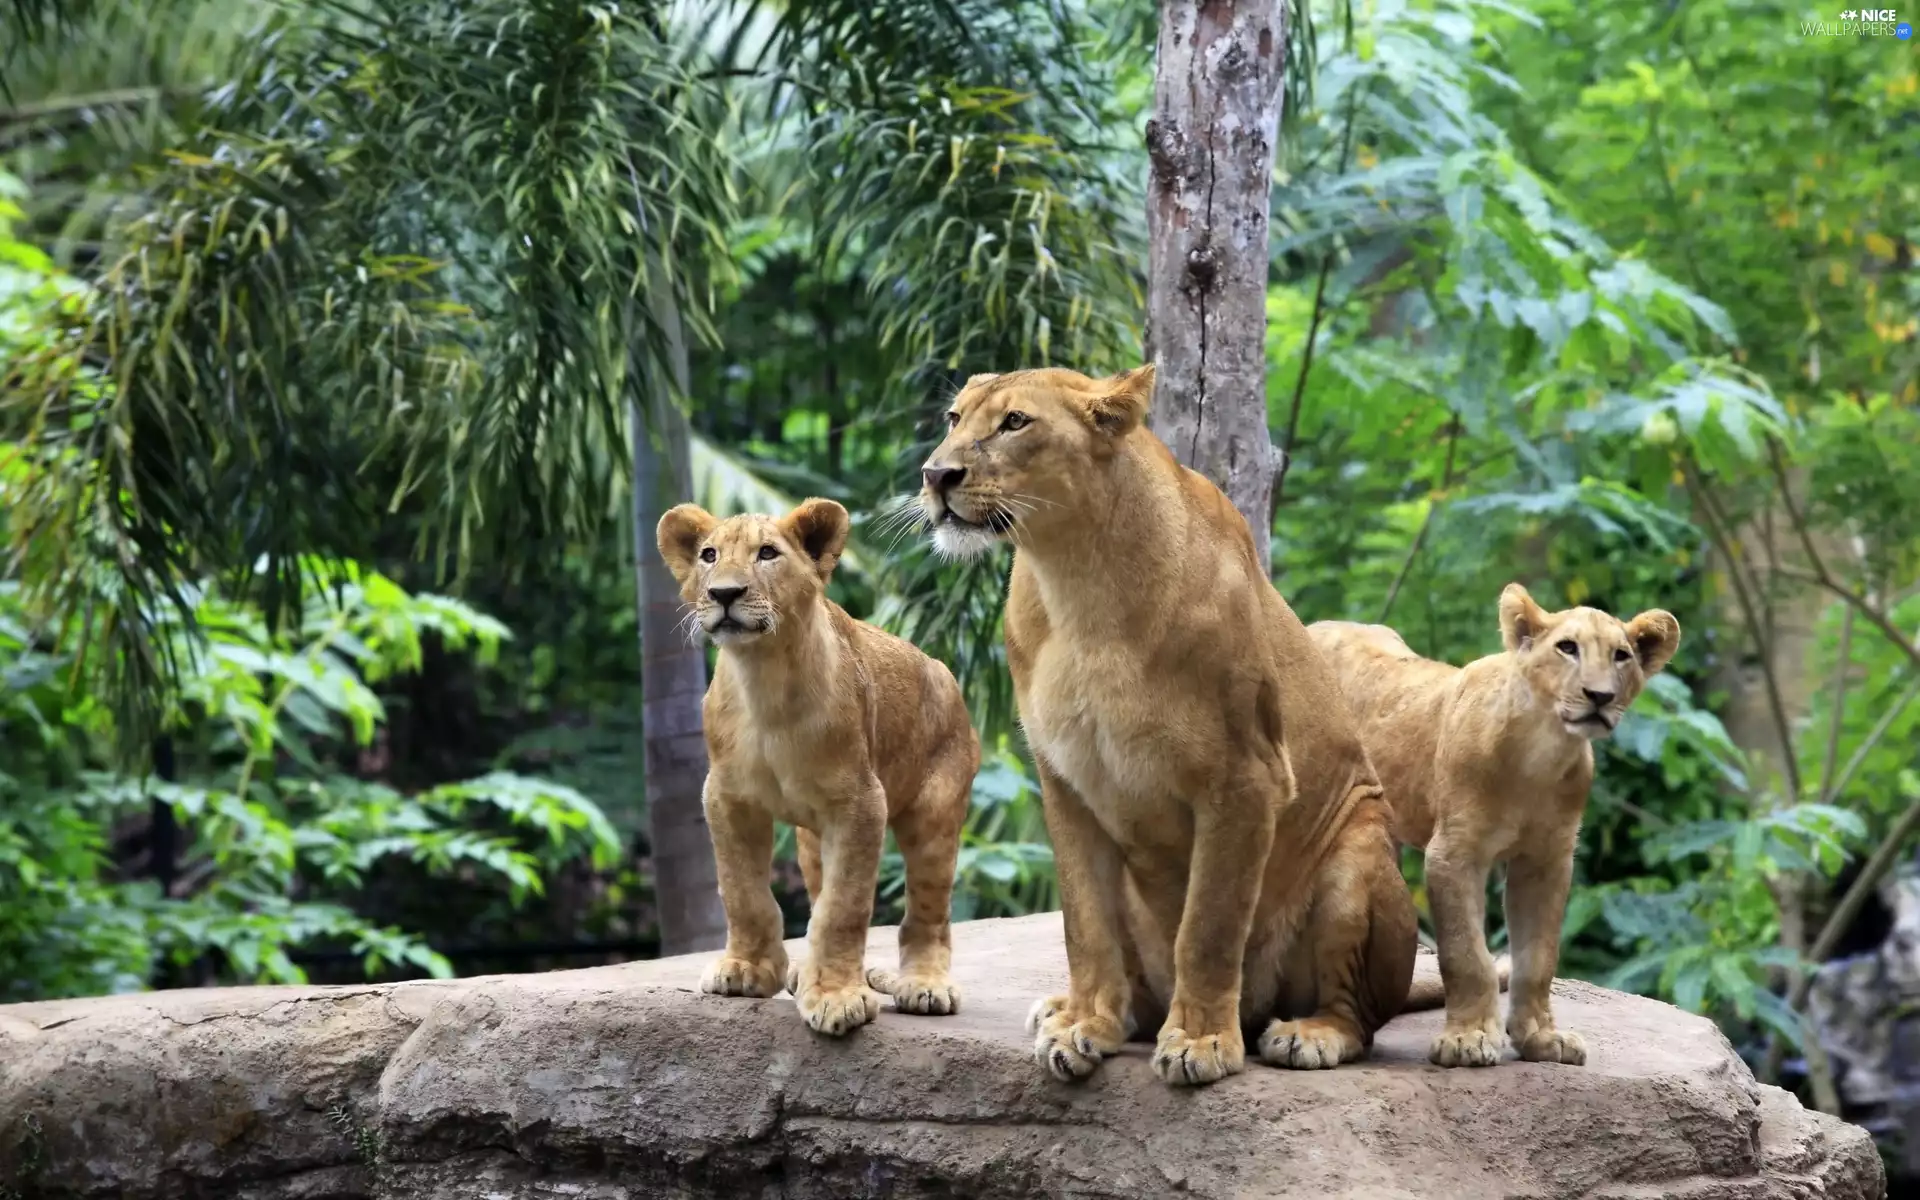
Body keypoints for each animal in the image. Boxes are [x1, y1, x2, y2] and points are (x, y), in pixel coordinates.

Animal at [656, 498, 980, 1036]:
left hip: (935, 813)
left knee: (928, 910)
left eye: (767, 554)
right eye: (708, 555)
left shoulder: (861, 804)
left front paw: (835, 998)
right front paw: (746, 970)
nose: (724, 593)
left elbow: (842, 908)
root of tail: (943, 672)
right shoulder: (727, 797)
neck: (764, 678)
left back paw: (925, 985)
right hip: (810, 839)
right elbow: (742, 891)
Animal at [918, 365, 1417, 1087]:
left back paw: (1307, 1034)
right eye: (954, 418)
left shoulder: (1246, 779)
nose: (935, 475)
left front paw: (1201, 1042)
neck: (1075, 577)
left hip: (1358, 851)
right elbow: (1084, 923)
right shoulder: (1066, 782)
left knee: (1357, 1014)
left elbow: (1208, 926)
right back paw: (1080, 1011)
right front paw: (1084, 1026)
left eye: (1015, 422)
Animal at [1309, 585, 1680, 1067]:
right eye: (1567, 648)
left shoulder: (1546, 860)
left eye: (1621, 656)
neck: (1541, 753)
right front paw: (1467, 1039)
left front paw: (1542, 1037)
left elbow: (1538, 957)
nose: (1599, 696)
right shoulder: (1453, 853)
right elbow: (1466, 952)